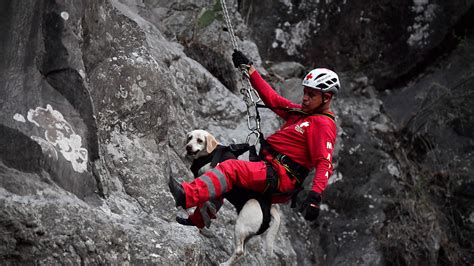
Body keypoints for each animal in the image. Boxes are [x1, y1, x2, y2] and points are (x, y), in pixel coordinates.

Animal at [184, 129, 282, 264]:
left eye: (200, 140)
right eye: (189, 138)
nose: (188, 147)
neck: (209, 154)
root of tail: (269, 208)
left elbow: (202, 200)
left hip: (240, 226)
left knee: (239, 251)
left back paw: (224, 264)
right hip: (248, 234)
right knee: (243, 253)